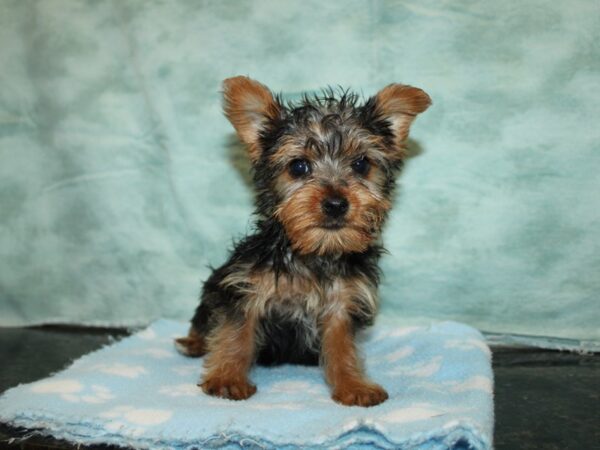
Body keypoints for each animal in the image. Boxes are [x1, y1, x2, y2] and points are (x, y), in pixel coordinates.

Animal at [176, 75, 428, 406]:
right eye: (298, 166)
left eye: (361, 164)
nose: (335, 204)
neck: (316, 252)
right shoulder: (245, 286)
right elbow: (236, 332)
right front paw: (227, 378)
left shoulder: (342, 303)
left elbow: (342, 346)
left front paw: (353, 385)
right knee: (205, 319)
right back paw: (194, 342)